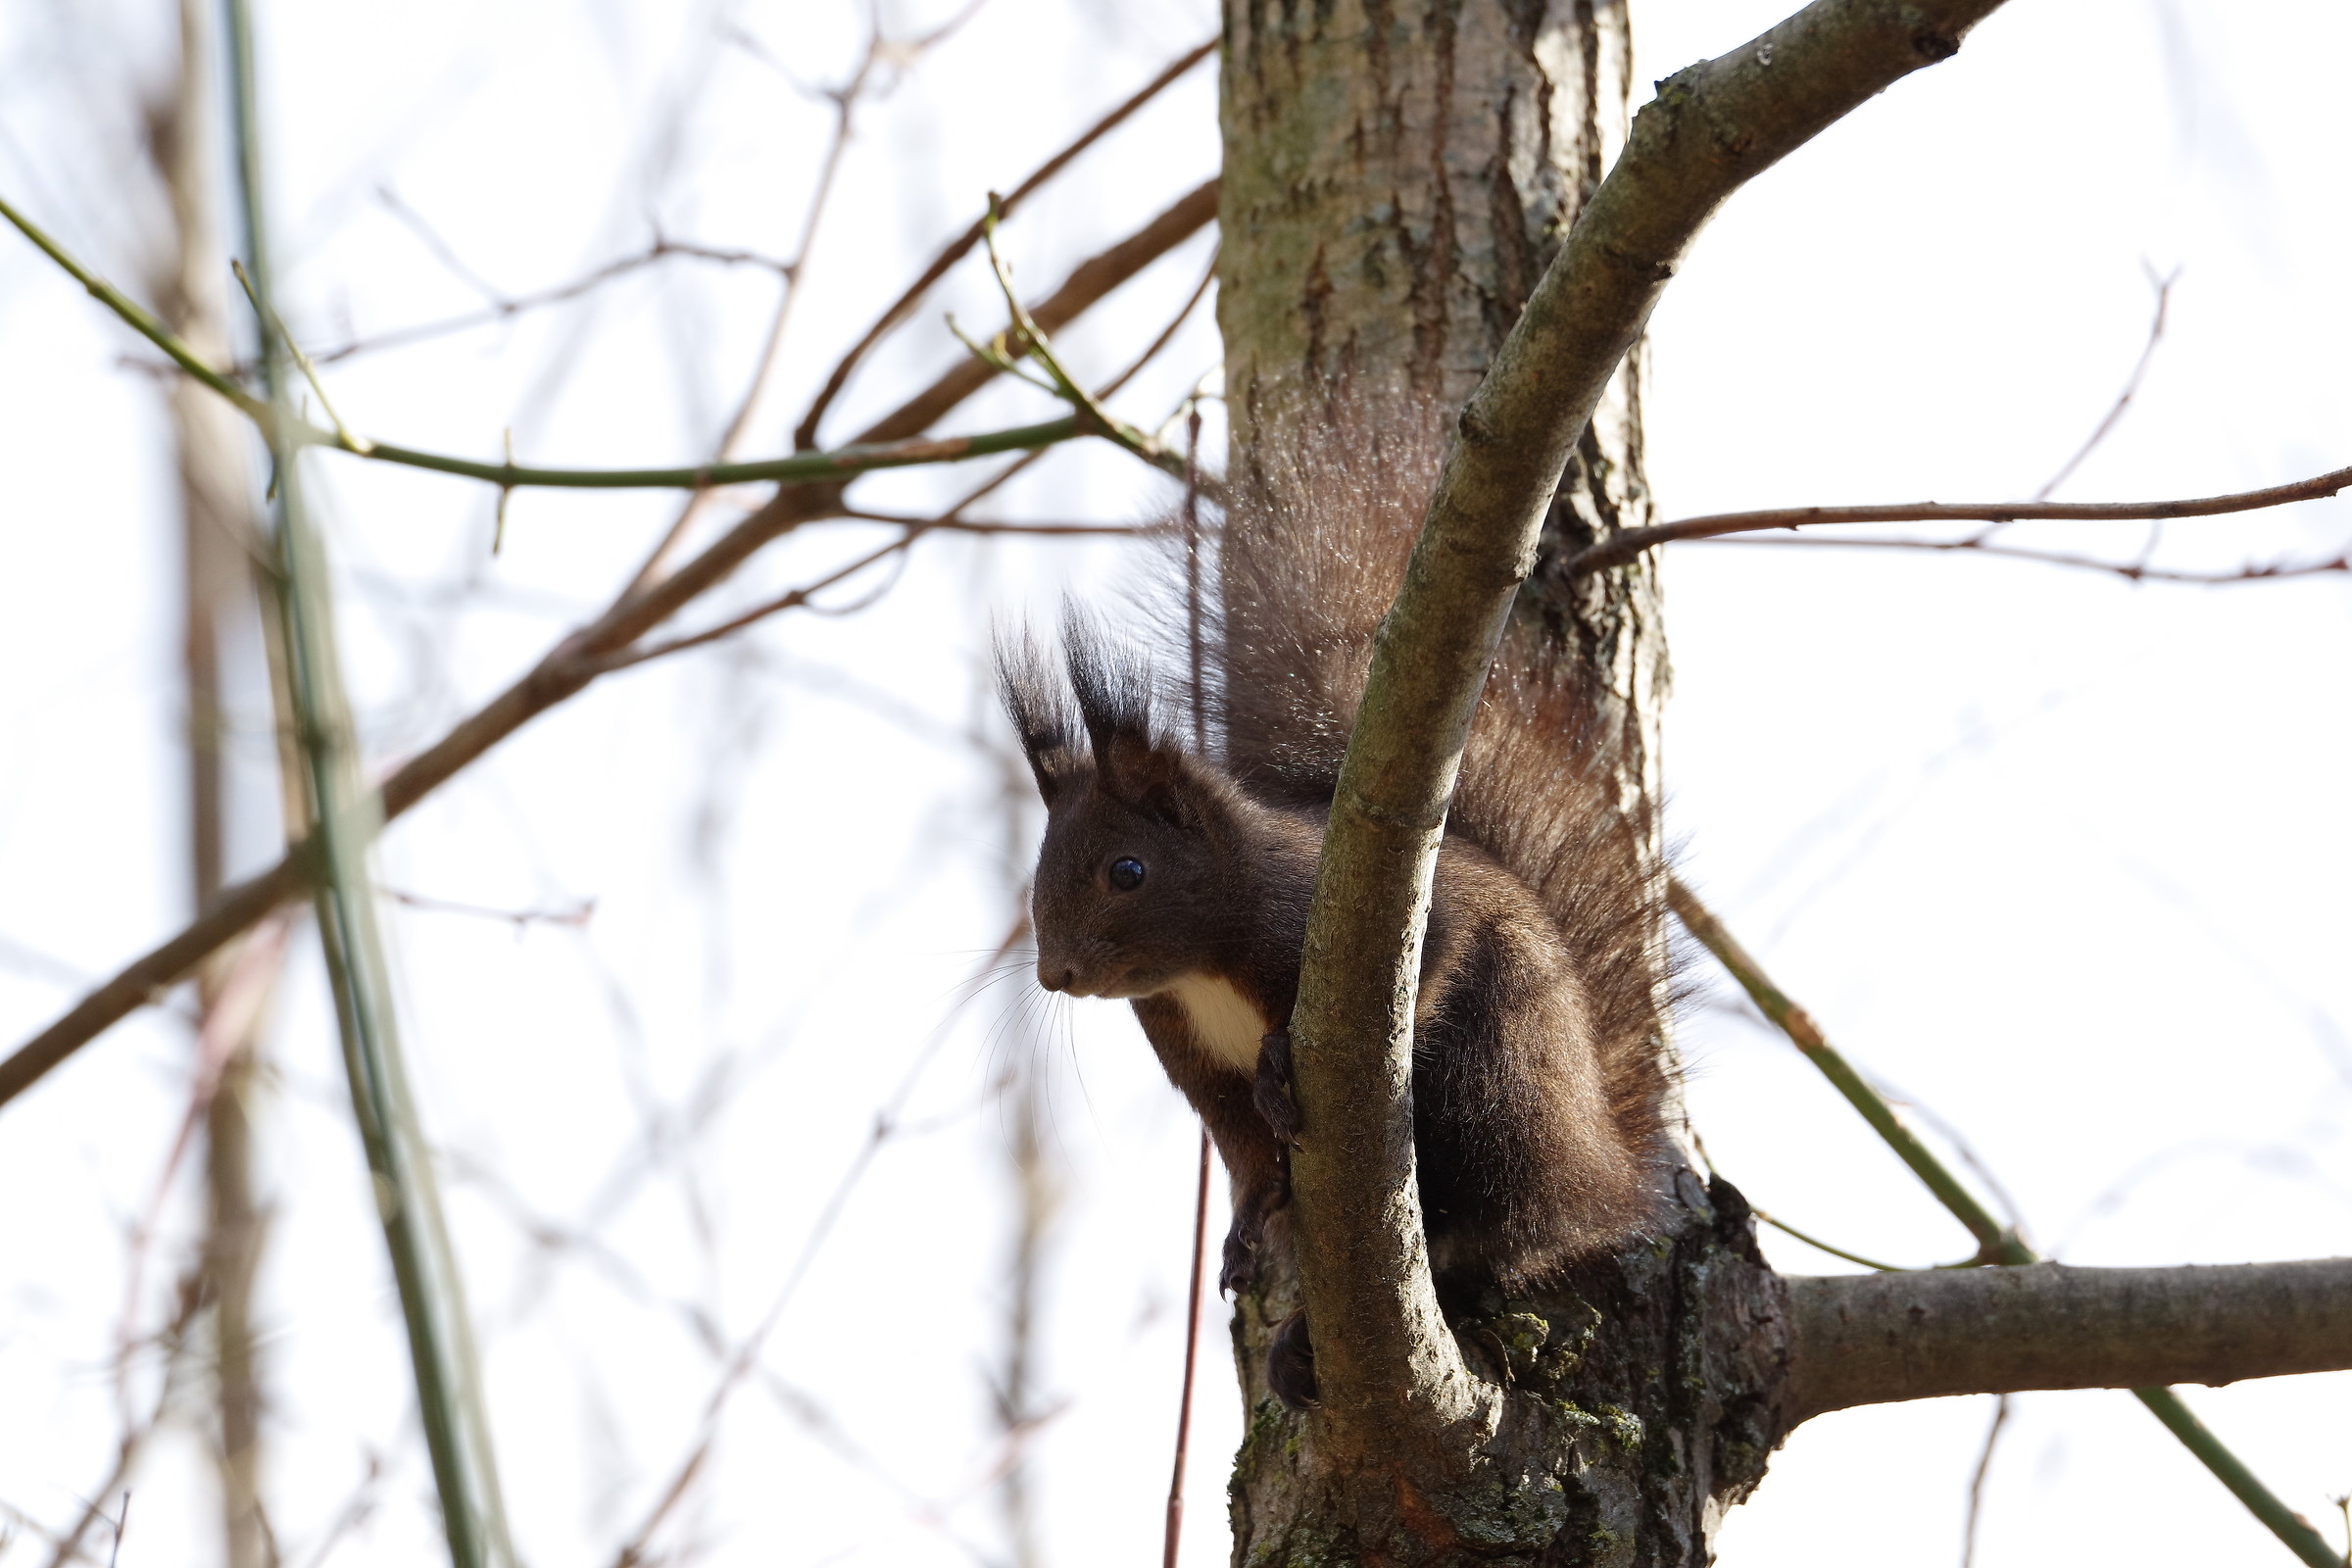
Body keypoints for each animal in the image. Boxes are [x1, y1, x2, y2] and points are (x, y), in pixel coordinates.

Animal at [997, 407, 1676, 1410]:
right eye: (1037, 874)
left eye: (1128, 870)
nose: (1058, 974)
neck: (1200, 969)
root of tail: (1600, 1176)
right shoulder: (1194, 1058)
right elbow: (1244, 1152)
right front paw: (1245, 1223)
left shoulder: (1334, 912)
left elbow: (1437, 955)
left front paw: (1283, 1062)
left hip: (1499, 1096)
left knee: (1473, 1247)